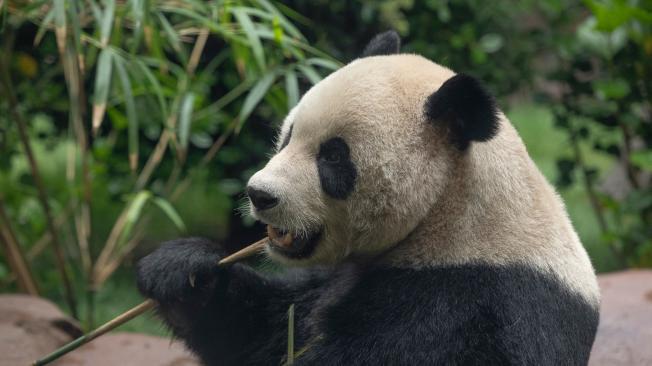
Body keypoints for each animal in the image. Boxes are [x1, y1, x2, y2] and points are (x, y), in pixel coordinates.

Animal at [138, 32, 600, 366]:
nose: (260, 194)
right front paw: (183, 270)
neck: (449, 213)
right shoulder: (333, 278)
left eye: (333, 156)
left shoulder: (468, 301)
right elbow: (268, 330)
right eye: (288, 136)